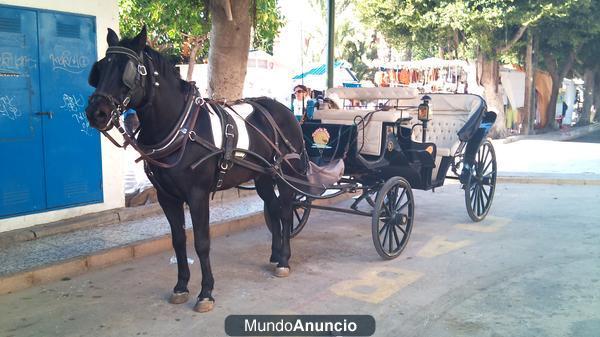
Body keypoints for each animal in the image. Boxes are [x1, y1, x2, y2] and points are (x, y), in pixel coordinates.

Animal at [86, 26, 308, 312]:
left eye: (128, 70)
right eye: (101, 68)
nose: (96, 112)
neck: (181, 128)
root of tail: (286, 110)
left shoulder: (197, 195)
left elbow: (202, 242)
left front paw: (206, 292)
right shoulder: (166, 197)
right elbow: (178, 240)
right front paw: (181, 286)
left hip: (285, 175)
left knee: (285, 210)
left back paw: (284, 260)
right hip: (263, 176)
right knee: (273, 207)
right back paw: (275, 253)